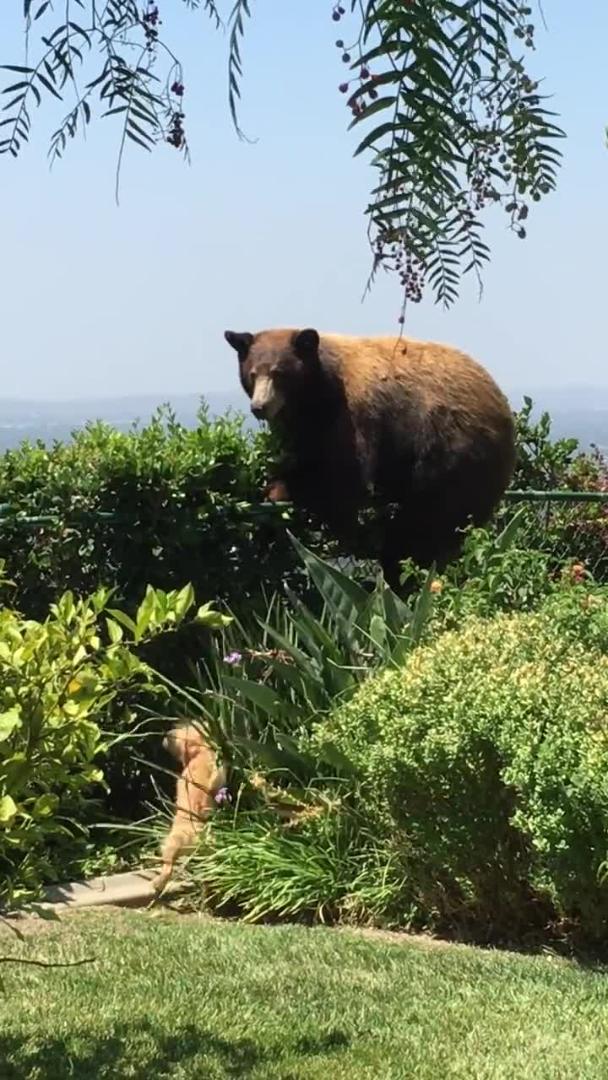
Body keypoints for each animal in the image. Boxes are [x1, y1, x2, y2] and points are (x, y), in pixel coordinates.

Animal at [224, 327, 516, 590]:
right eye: (252, 373)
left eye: (279, 373)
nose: (259, 407)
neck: (318, 390)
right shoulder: (305, 425)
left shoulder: (353, 414)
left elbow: (342, 478)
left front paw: (287, 491)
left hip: (455, 460)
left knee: (421, 529)